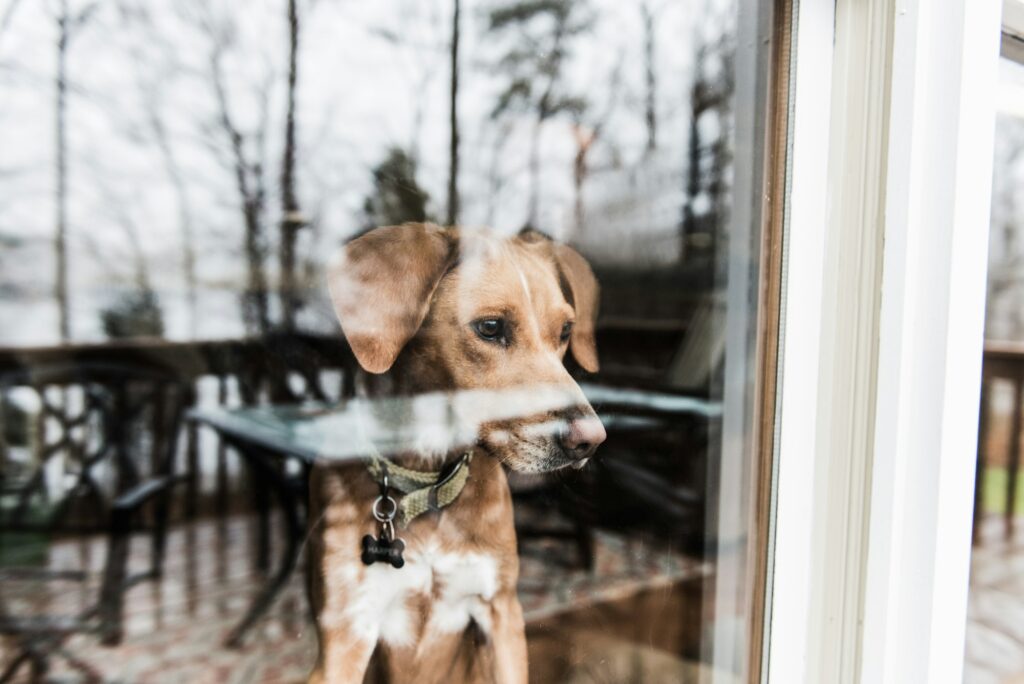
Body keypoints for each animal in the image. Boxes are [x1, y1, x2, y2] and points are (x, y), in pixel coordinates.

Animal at [307, 225, 602, 684]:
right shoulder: (346, 631)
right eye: (491, 327)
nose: (591, 439)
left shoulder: (501, 613)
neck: (426, 486)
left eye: (566, 330)